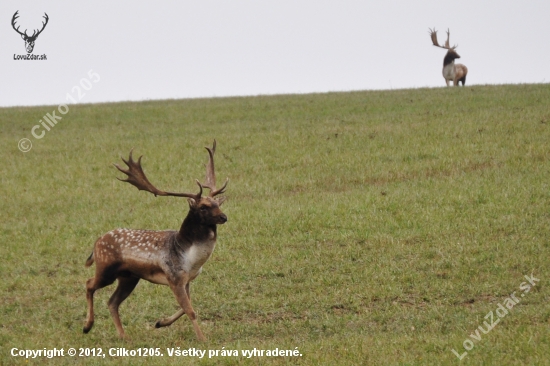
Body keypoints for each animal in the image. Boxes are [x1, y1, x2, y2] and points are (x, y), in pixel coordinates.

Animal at [83, 141, 229, 340]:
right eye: (203, 207)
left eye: (217, 204)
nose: (224, 217)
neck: (191, 259)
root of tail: (97, 242)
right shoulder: (174, 277)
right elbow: (190, 310)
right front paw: (202, 339)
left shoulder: (186, 280)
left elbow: (186, 307)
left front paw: (160, 322)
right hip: (106, 268)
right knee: (89, 284)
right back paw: (87, 326)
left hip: (129, 277)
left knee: (112, 301)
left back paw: (123, 336)